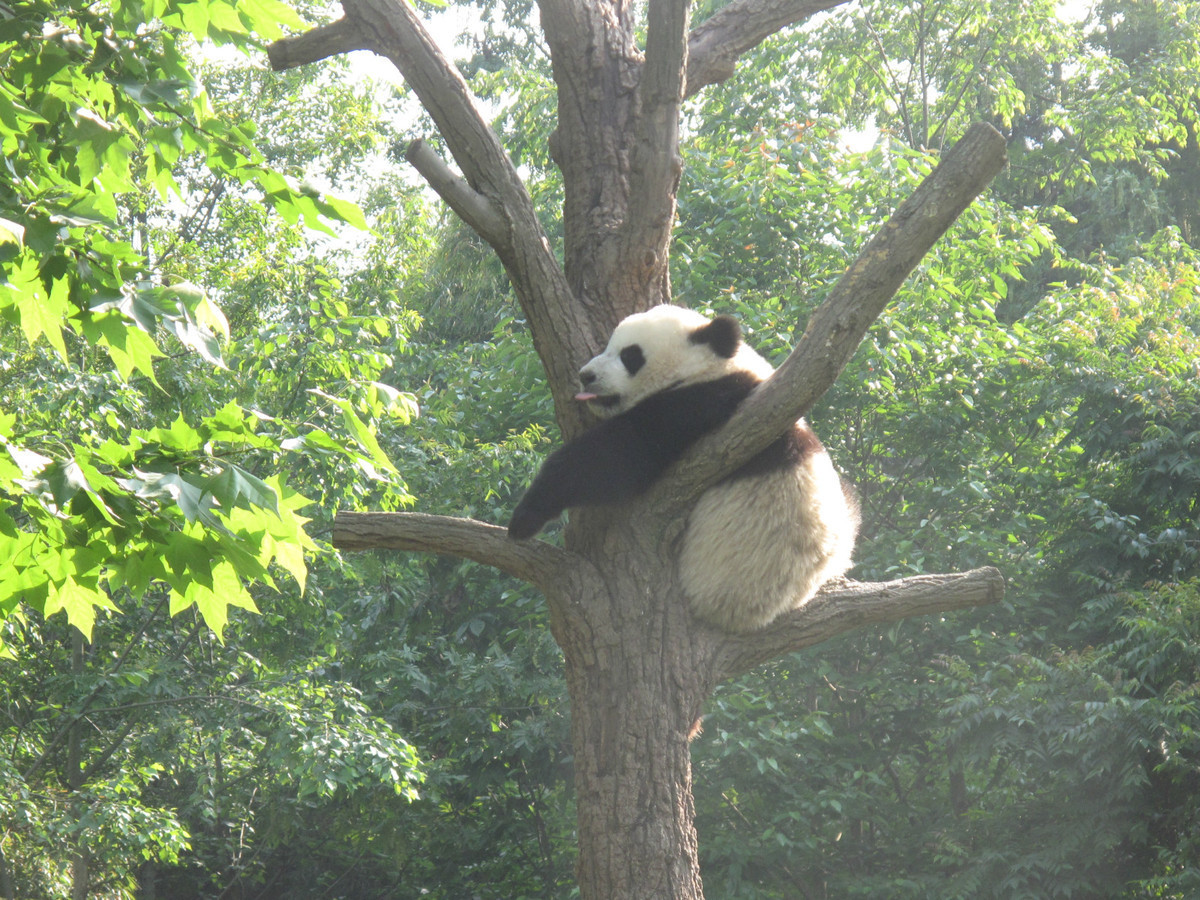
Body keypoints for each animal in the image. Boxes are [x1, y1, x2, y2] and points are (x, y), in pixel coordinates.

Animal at [511, 307, 859, 628]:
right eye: (609, 346)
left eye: (630, 356)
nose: (586, 376)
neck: (715, 366)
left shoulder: (700, 403)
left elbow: (618, 457)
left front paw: (526, 516)